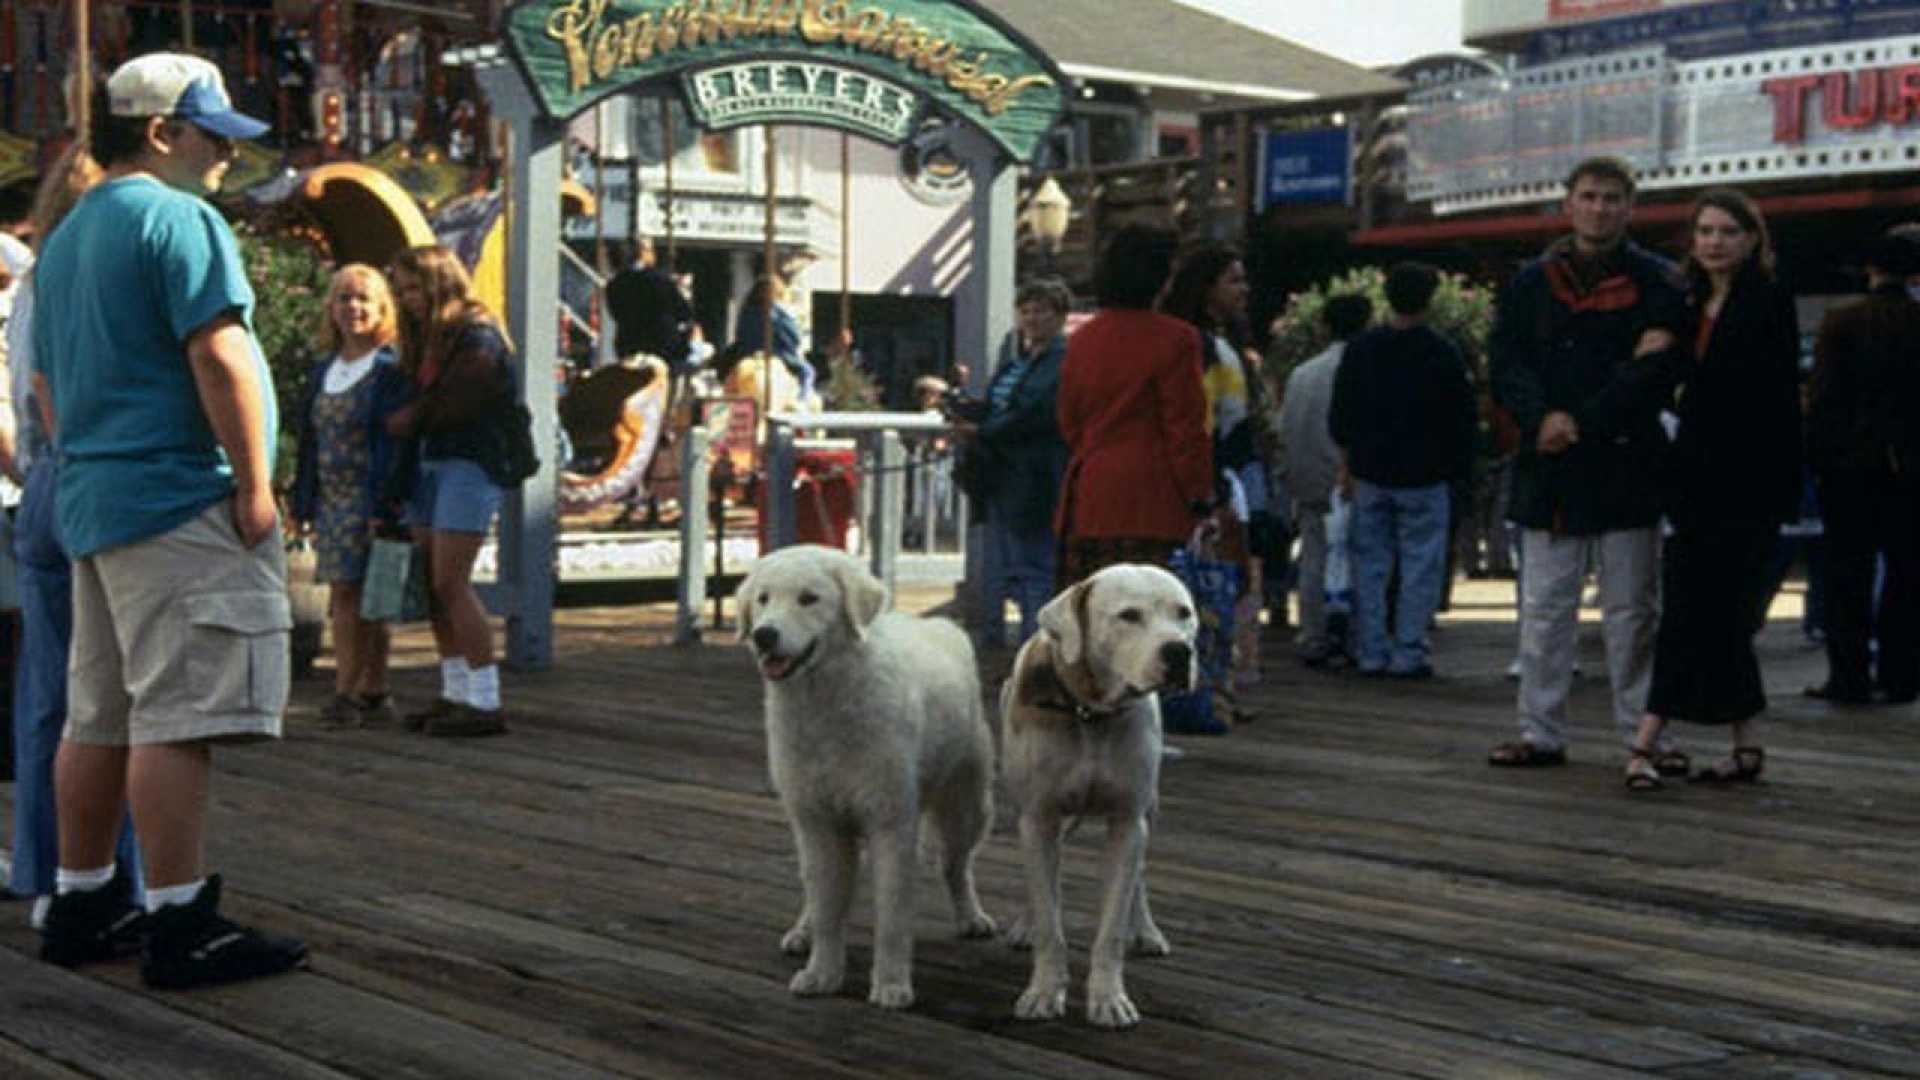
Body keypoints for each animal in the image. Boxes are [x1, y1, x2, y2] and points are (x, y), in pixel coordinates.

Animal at [733, 541, 998, 1006]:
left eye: (808, 599)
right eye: (763, 599)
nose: (764, 635)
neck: (825, 707)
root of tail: (942, 626)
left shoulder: (890, 824)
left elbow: (891, 916)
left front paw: (890, 984)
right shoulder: (818, 822)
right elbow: (827, 909)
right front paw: (822, 973)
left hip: (967, 809)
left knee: (956, 866)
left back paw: (971, 917)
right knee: (815, 890)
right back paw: (802, 930)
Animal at [998, 564, 1190, 1022]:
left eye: (1185, 613)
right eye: (1128, 616)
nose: (1179, 652)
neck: (1090, 713)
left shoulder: (1127, 821)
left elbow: (1113, 924)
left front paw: (1109, 998)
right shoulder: (1038, 819)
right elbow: (1049, 917)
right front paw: (1044, 991)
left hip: (1149, 809)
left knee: (1139, 874)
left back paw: (1147, 930)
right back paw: (1027, 923)